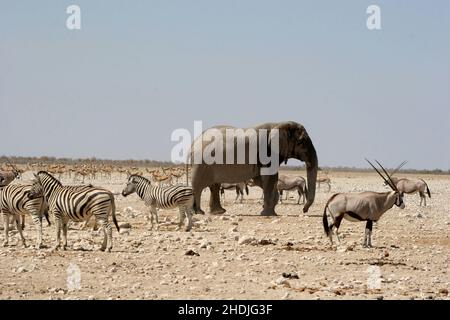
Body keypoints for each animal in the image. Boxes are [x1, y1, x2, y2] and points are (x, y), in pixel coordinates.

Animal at [188, 121, 318, 216]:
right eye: (301, 142)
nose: (304, 210)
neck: (279, 124)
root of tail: (193, 143)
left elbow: (263, 180)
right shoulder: (267, 152)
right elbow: (269, 178)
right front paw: (268, 214)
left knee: (214, 186)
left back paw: (219, 212)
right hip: (202, 163)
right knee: (199, 186)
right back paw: (199, 212)